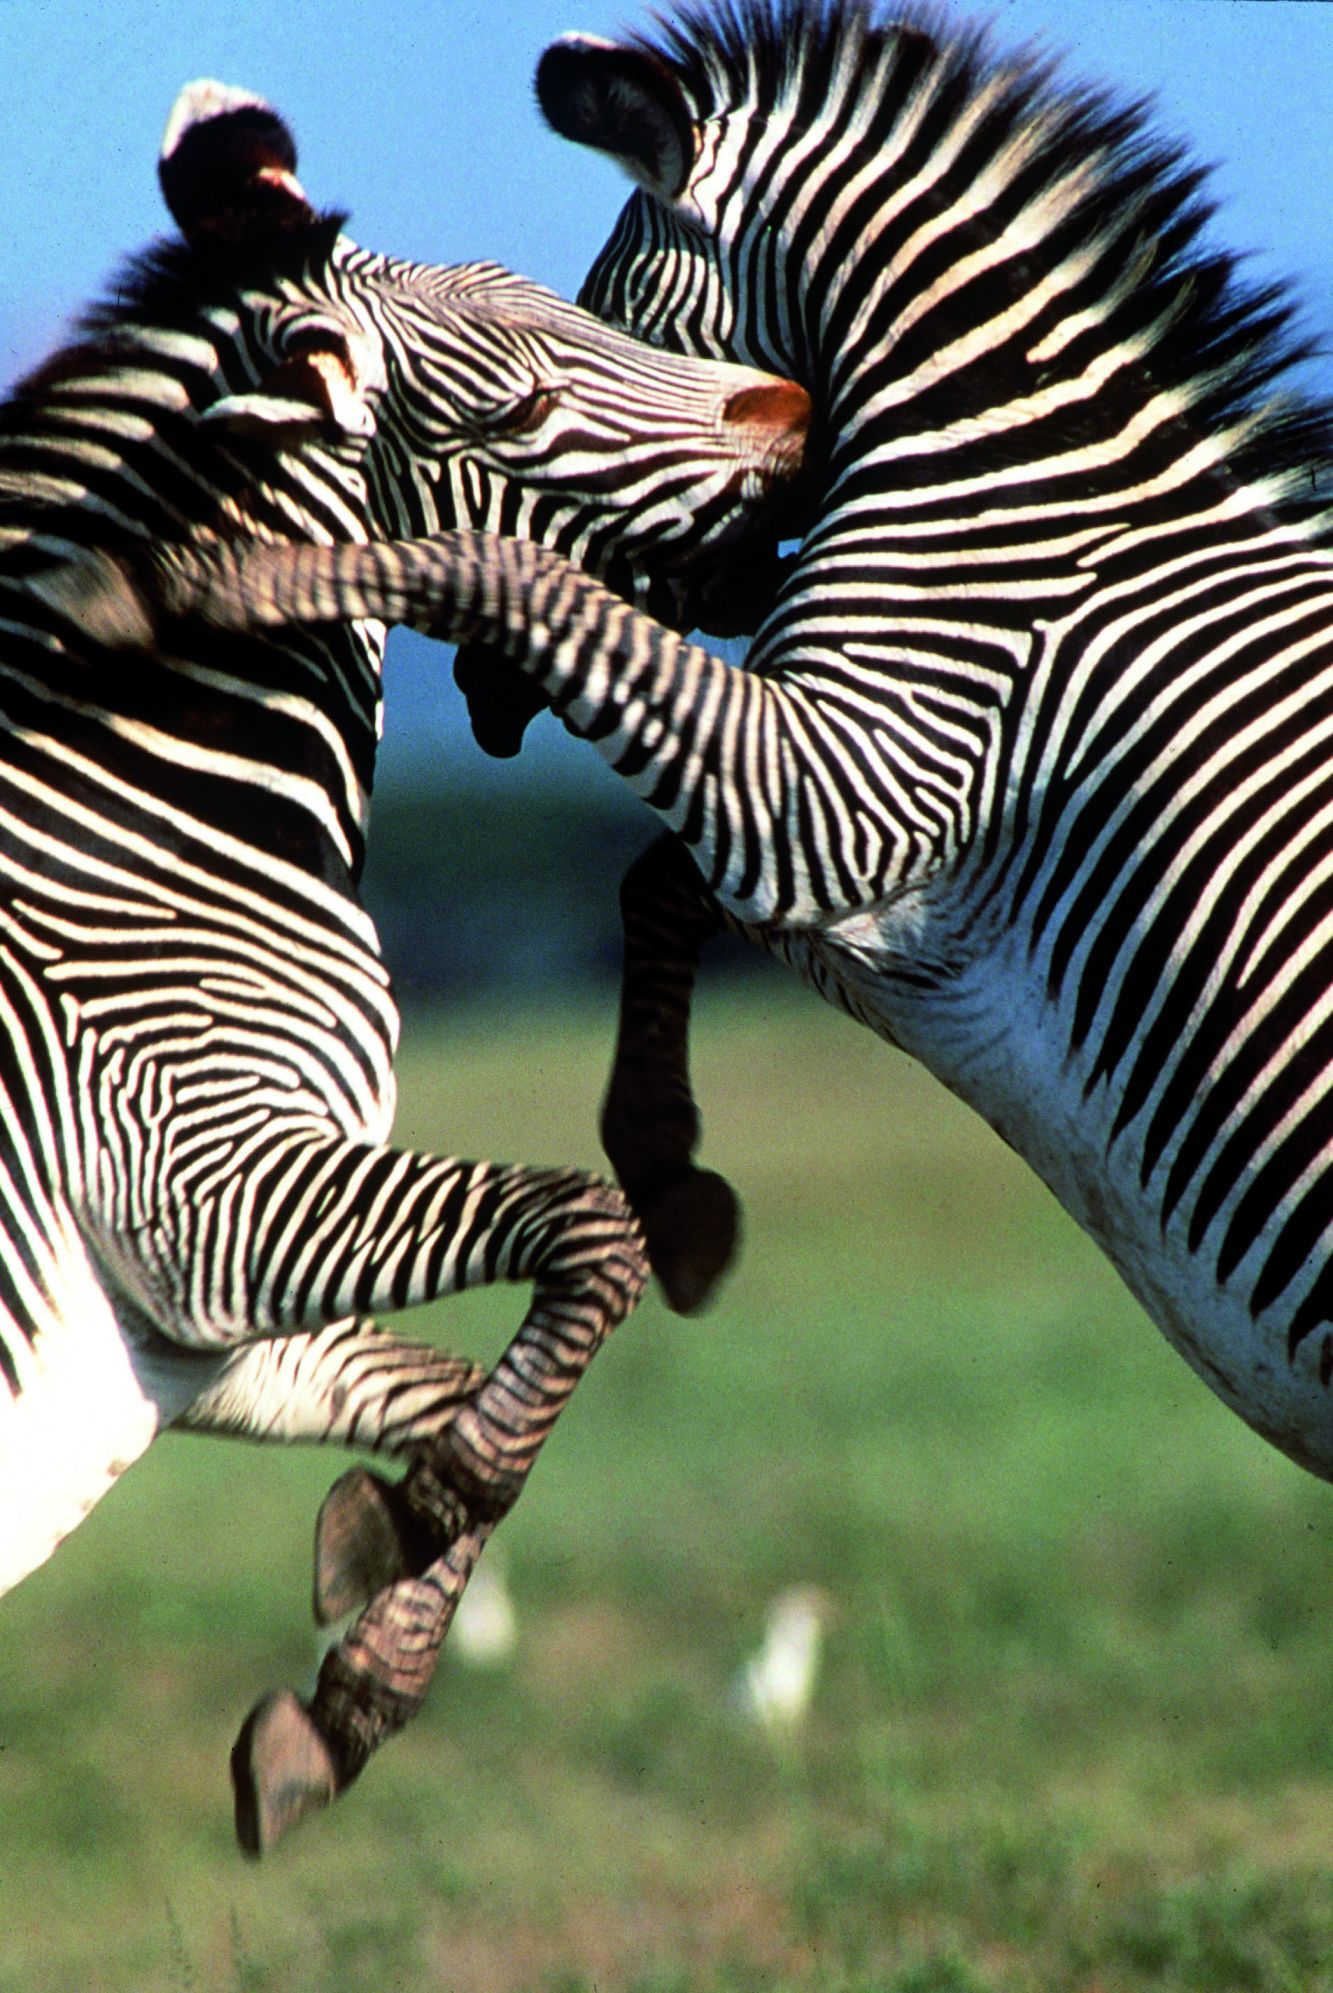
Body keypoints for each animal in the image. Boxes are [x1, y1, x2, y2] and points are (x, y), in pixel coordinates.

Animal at [0, 73, 804, 1849]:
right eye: (518, 408)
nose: (796, 415)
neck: (151, 819)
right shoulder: (198, 1192)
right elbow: (595, 1234)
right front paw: (416, 1526)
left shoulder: (196, 1333)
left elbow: (458, 1391)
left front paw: (358, 1662)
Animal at [129, 0, 1331, 1506]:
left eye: (598, 329)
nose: (482, 701)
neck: (1009, 504)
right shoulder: (852, 864)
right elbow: (654, 876)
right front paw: (673, 1183)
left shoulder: (852, 790)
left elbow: (508, 583)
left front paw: (220, 576)